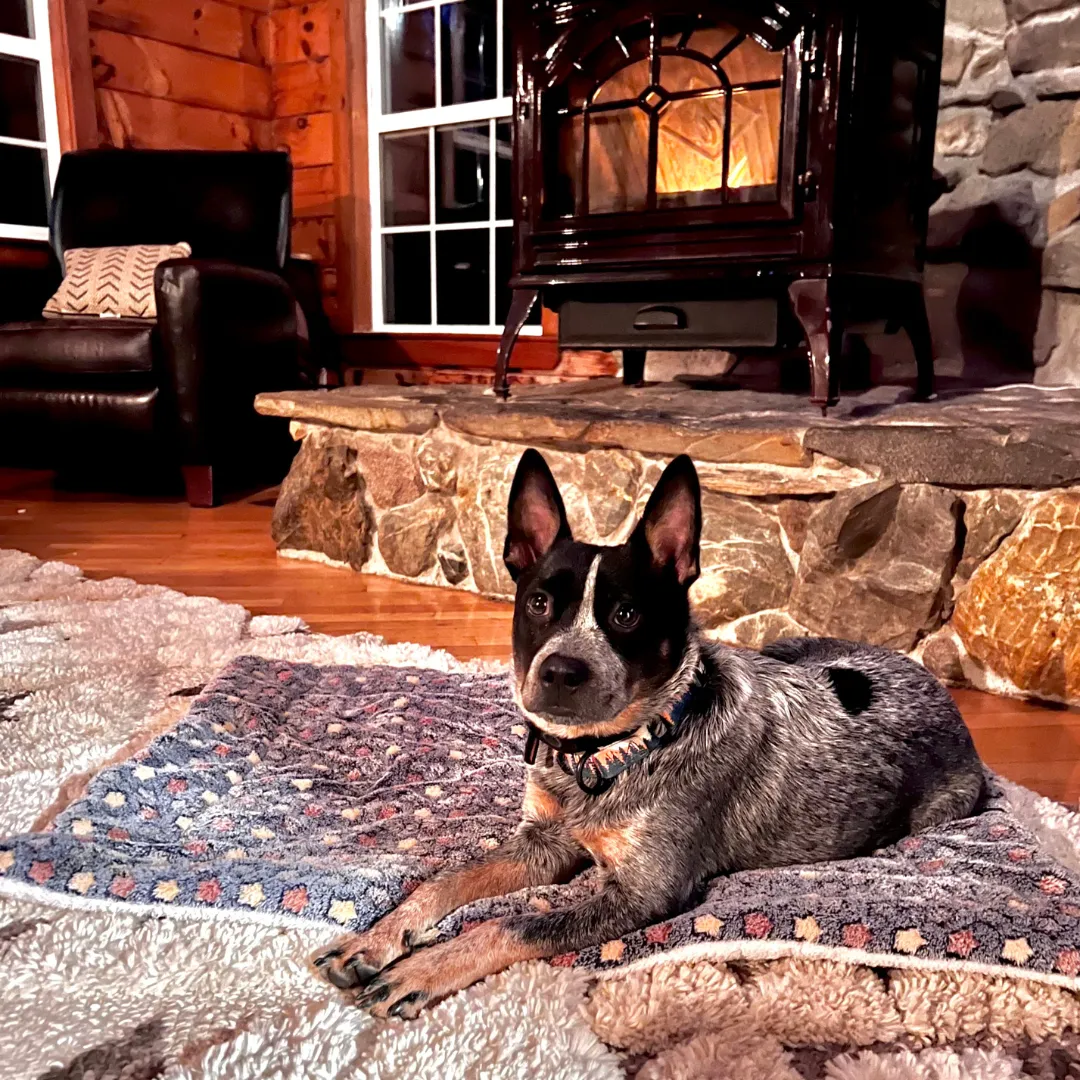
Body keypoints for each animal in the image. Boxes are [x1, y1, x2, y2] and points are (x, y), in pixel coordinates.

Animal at [315, 449, 989, 1019]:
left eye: (626, 614)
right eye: (538, 603)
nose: (560, 672)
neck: (603, 755)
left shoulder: (645, 892)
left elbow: (510, 924)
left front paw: (422, 969)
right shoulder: (541, 843)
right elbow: (443, 881)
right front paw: (375, 940)